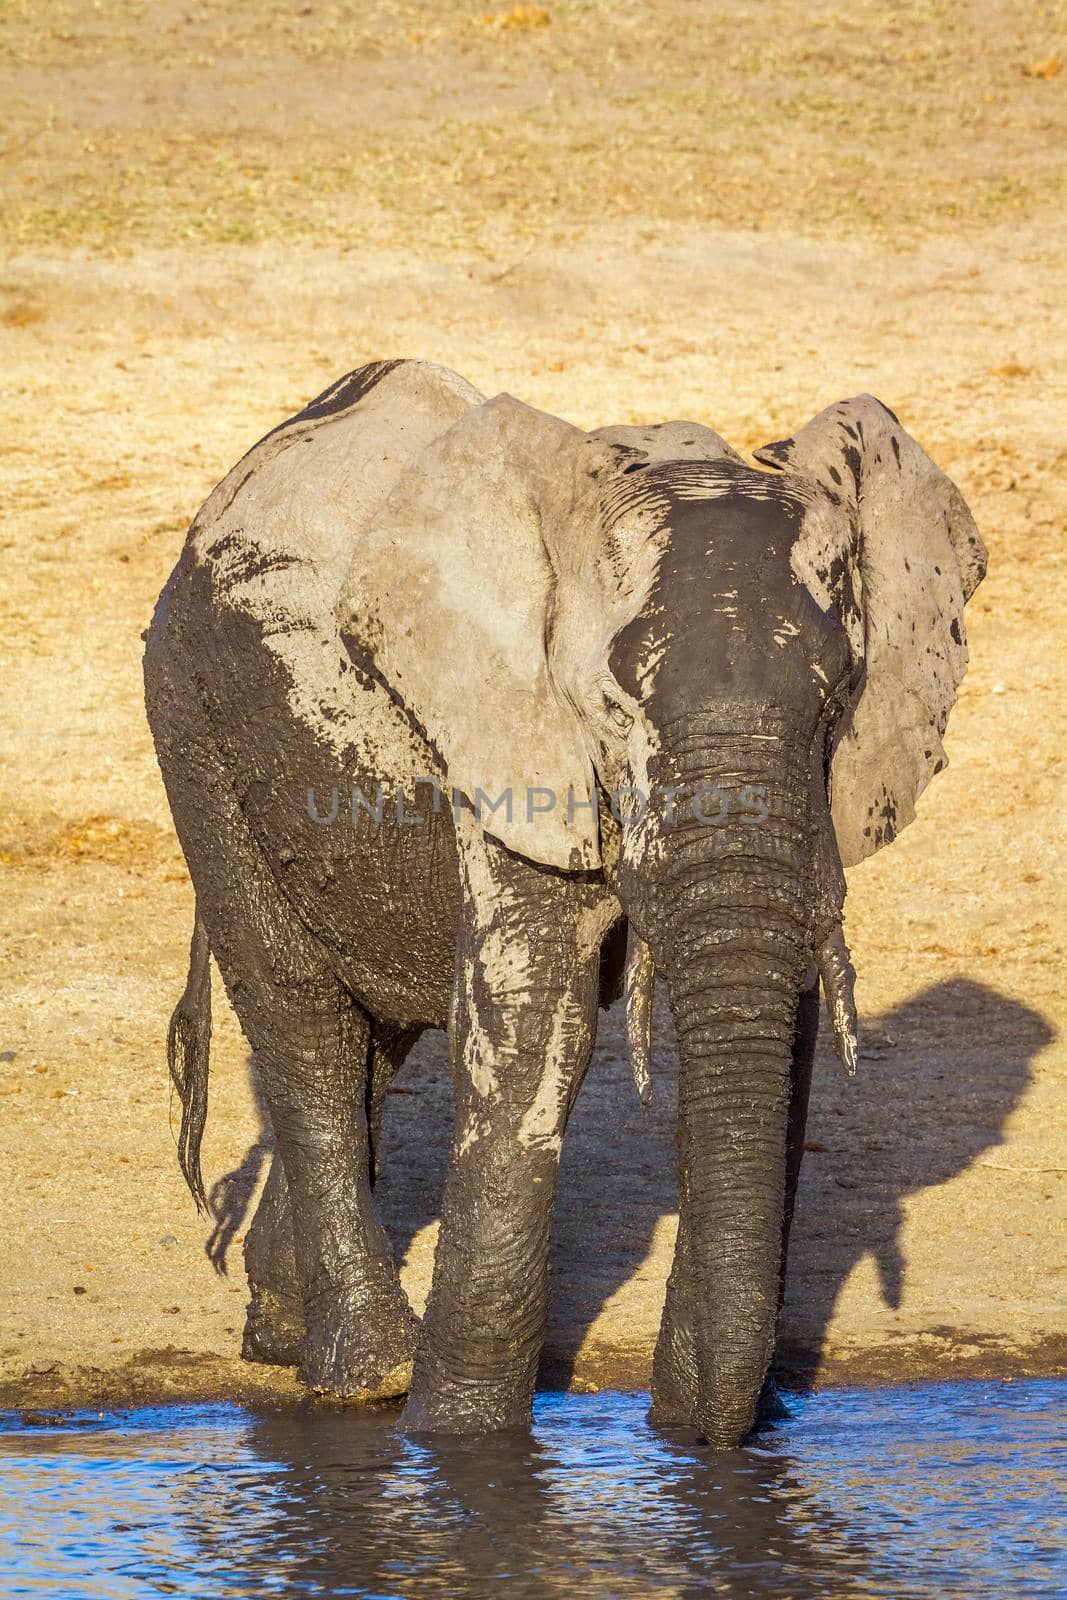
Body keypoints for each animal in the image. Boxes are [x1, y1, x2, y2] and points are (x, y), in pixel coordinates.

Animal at [141, 356, 985, 1446]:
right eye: (611, 706)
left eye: (838, 697)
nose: (699, 1431)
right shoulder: (511, 742)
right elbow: (534, 1037)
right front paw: (458, 1443)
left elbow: (775, 1049)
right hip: (190, 719)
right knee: (302, 1017)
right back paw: (364, 1377)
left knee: (375, 1032)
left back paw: (283, 1336)